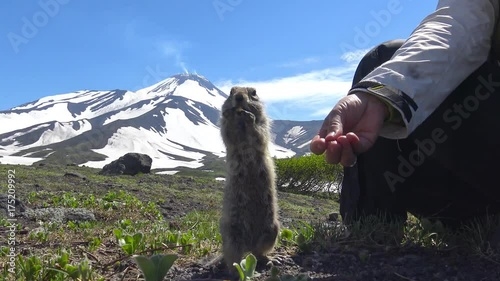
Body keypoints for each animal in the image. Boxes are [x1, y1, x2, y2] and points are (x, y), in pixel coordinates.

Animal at [220, 86, 282, 270]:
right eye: (230, 92)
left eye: (253, 92)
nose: (239, 97)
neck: (242, 126)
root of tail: (248, 244)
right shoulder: (226, 128)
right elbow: (228, 133)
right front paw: (230, 114)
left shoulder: (263, 124)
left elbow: (259, 135)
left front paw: (250, 117)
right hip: (232, 234)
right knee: (233, 257)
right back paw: (236, 269)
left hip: (272, 230)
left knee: (258, 252)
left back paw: (270, 260)